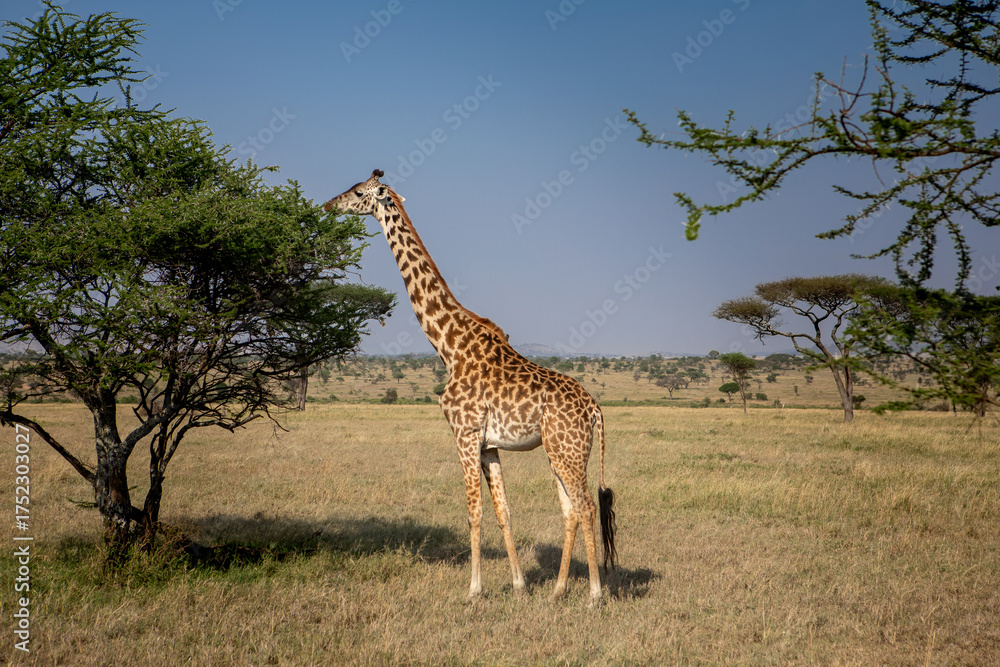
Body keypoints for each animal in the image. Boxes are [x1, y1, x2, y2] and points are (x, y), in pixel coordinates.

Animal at [324, 170, 617, 604]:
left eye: (359, 192)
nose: (329, 205)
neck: (449, 344)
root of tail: (595, 408)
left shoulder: (463, 434)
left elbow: (473, 512)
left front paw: (473, 590)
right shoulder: (488, 444)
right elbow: (503, 511)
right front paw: (519, 586)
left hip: (568, 450)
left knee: (586, 507)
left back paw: (595, 593)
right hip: (559, 451)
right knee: (570, 509)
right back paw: (558, 590)